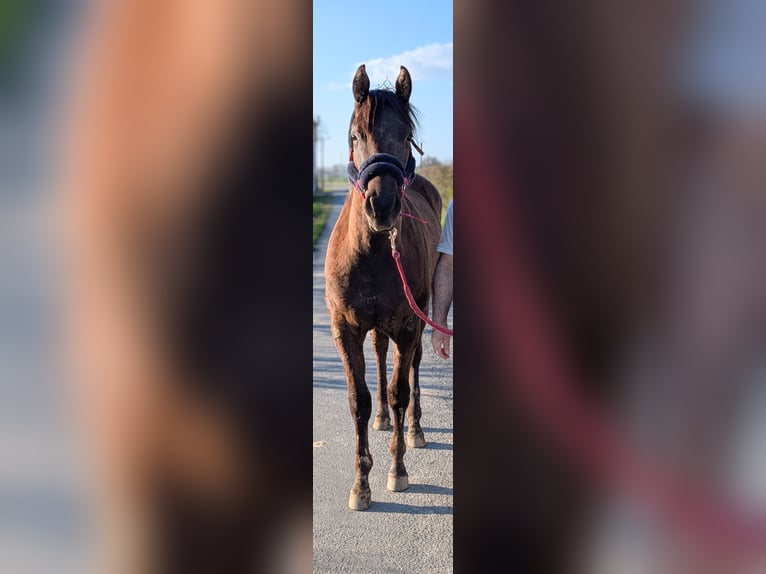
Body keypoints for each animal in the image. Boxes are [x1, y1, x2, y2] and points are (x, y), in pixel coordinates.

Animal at [324, 64, 443, 511]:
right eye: (356, 136)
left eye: (407, 136)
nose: (382, 206)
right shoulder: (345, 329)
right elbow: (358, 400)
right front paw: (361, 484)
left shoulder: (408, 326)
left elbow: (399, 390)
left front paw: (397, 469)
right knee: (377, 356)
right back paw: (382, 420)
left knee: (413, 368)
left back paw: (414, 429)